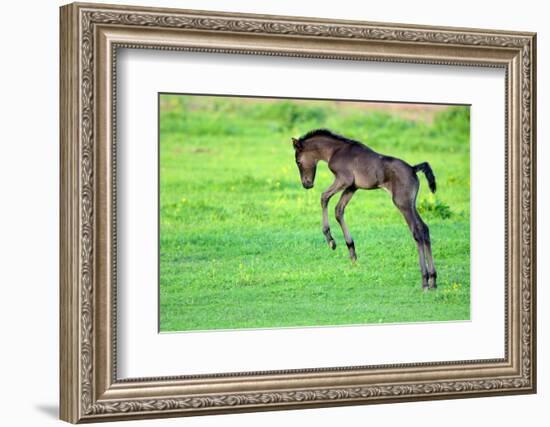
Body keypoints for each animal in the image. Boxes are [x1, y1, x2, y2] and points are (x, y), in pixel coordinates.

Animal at [294, 129, 440, 290]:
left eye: (298, 162)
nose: (306, 184)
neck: (335, 150)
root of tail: (413, 169)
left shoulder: (344, 179)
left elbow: (324, 197)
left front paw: (330, 240)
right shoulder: (352, 186)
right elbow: (339, 210)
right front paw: (352, 252)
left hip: (403, 203)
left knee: (417, 231)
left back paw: (425, 281)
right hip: (411, 203)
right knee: (424, 229)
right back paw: (433, 280)